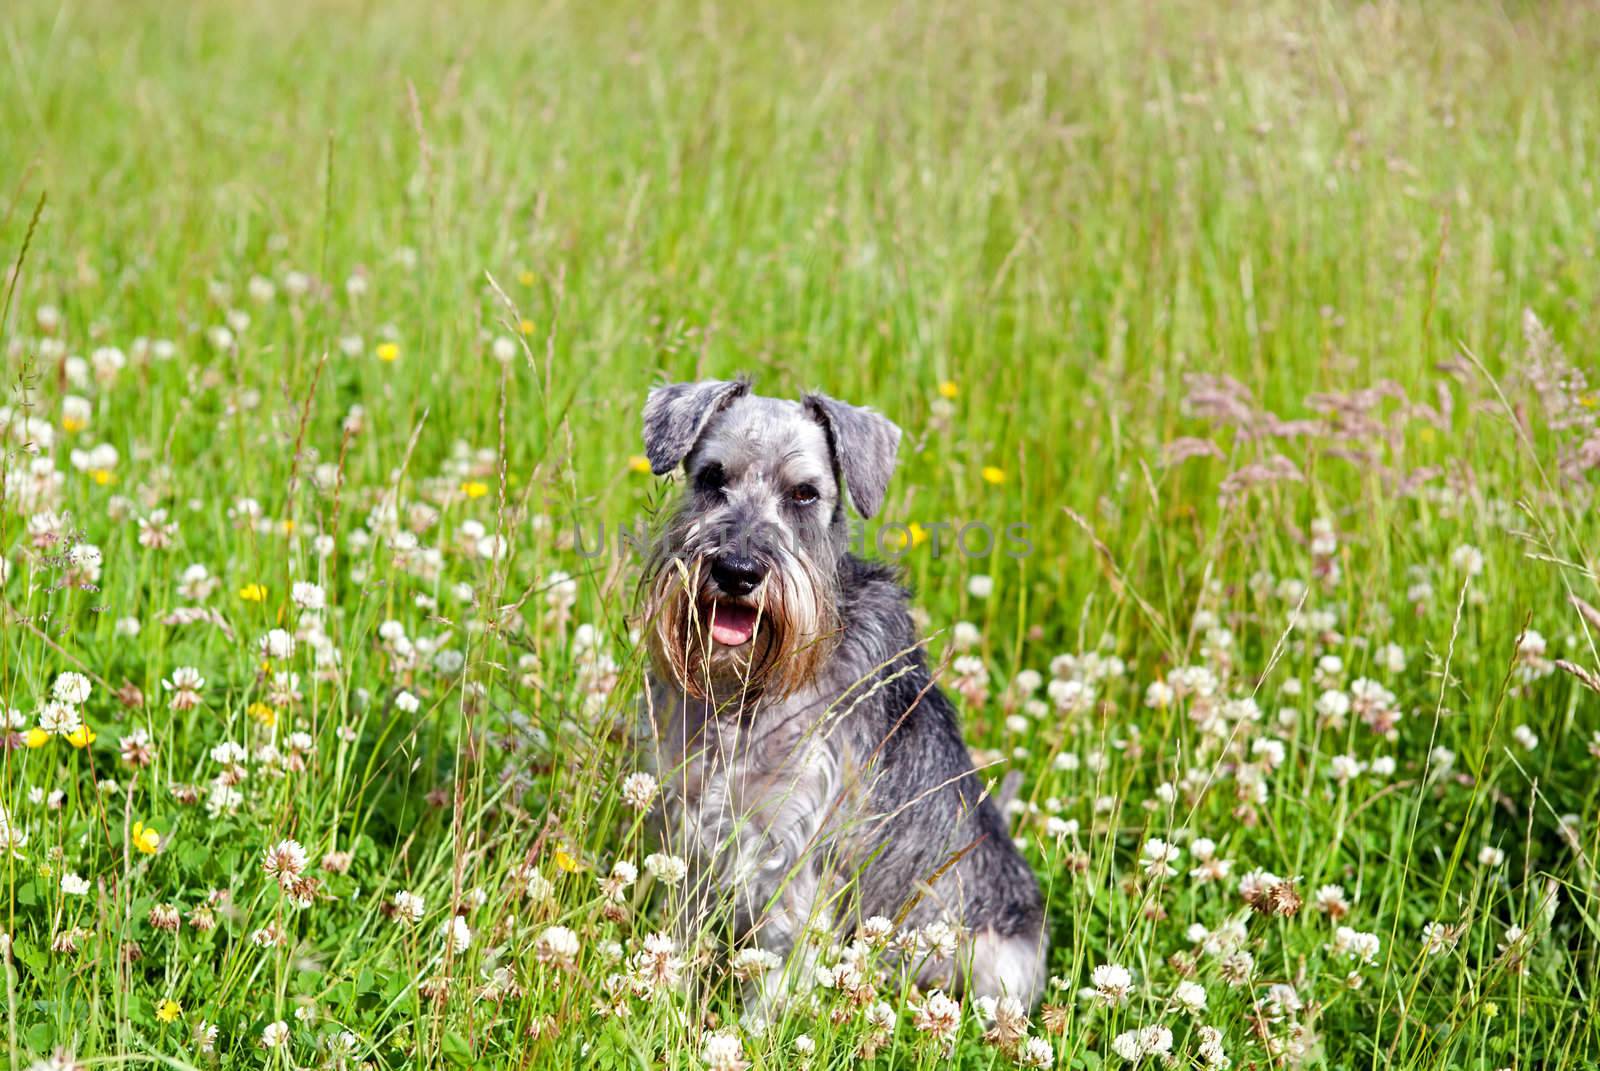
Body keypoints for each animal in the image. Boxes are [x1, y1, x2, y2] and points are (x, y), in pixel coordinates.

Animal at [636, 377, 1049, 1011]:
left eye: (805, 493)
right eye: (711, 476)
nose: (736, 569)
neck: (751, 694)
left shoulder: (796, 857)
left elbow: (778, 975)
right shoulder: (690, 825)